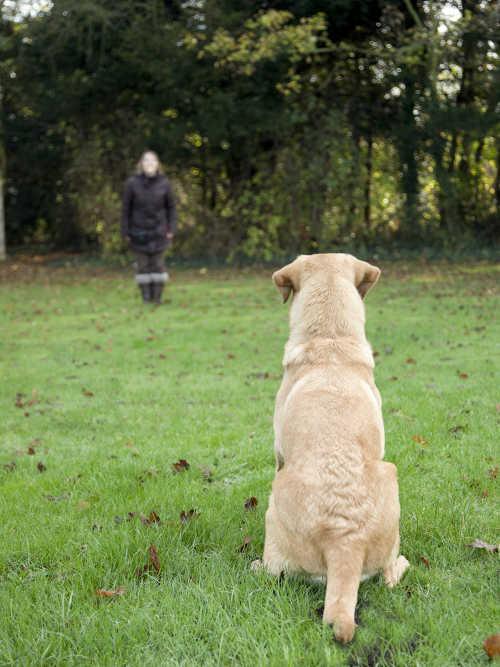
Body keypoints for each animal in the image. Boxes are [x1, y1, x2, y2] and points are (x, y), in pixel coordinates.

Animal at [254, 253, 410, 644]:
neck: (330, 340)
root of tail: (344, 541)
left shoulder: (278, 455)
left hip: (276, 496)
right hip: (390, 472)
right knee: (387, 575)